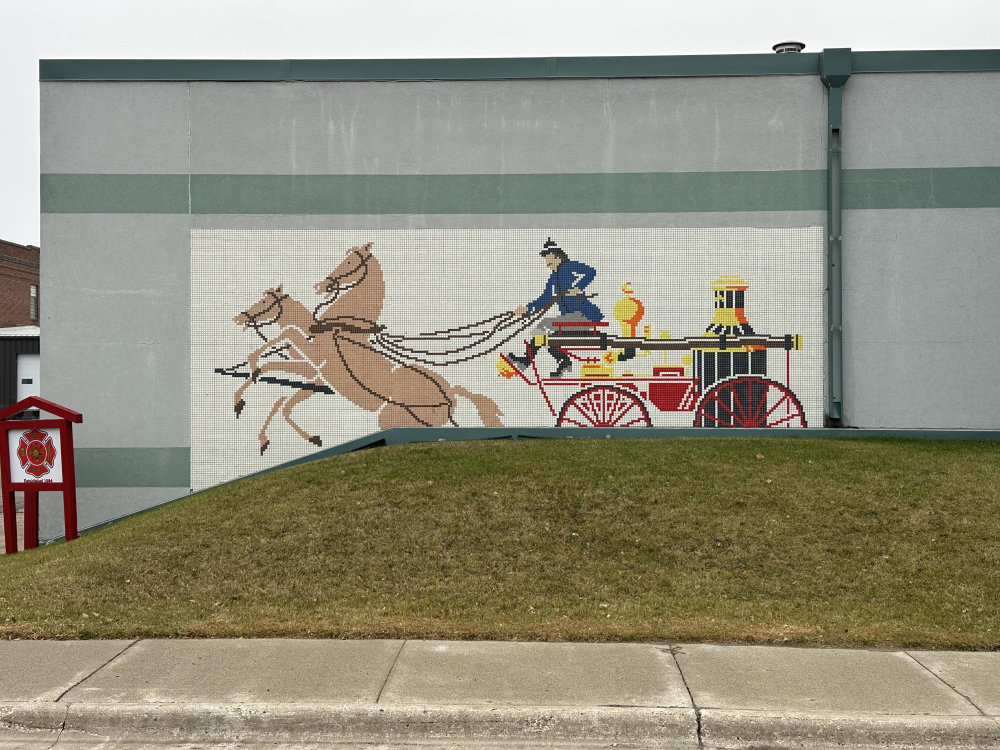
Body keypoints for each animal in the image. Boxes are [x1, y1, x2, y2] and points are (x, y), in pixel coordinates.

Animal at [231, 242, 504, 452]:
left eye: (350, 261)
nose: (239, 318)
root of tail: (450, 394)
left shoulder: (317, 363)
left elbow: (286, 336)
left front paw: (249, 378)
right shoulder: (315, 374)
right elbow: (282, 397)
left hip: (393, 418)